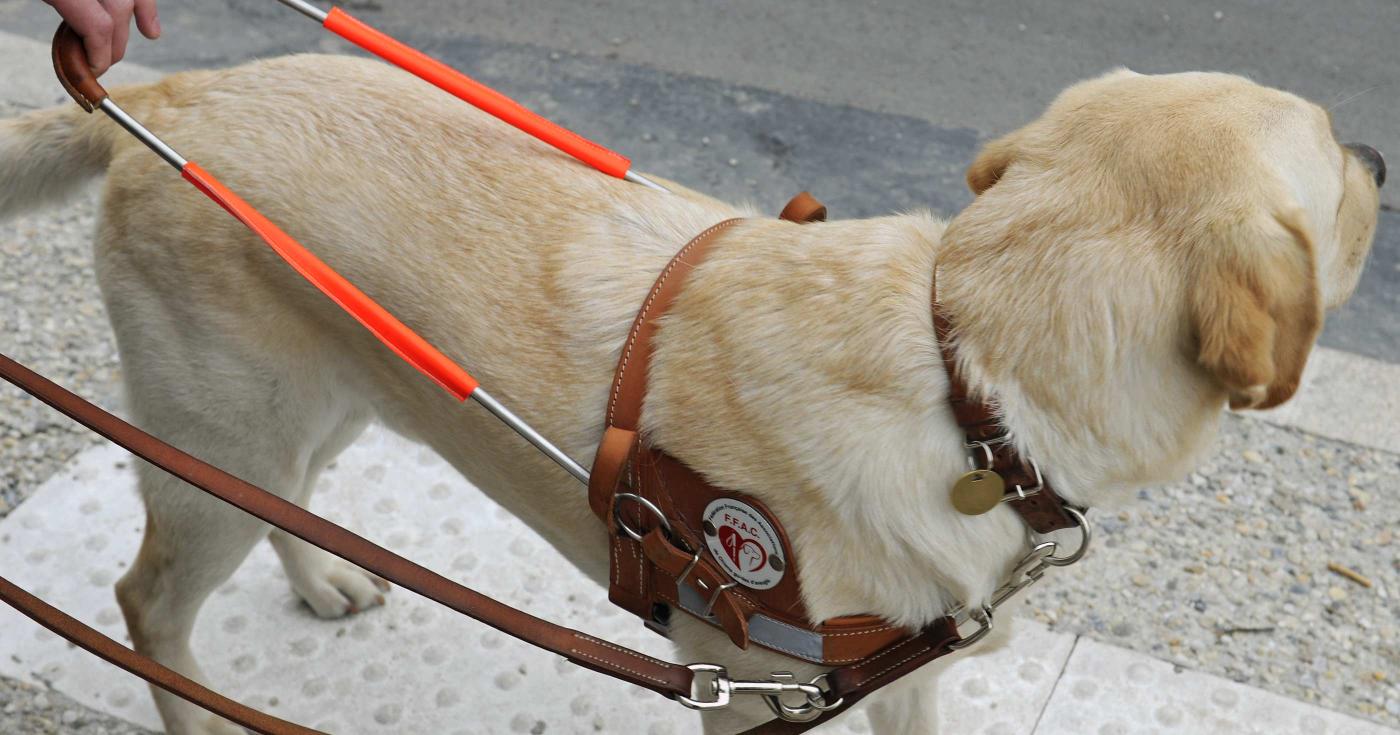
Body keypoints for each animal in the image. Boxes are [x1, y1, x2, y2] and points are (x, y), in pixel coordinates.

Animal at [0, 58, 1377, 733]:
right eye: (1336, 161)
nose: (1375, 148)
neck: (964, 380)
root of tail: (156, 95)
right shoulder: (754, 702)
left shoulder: (902, 684)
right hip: (221, 433)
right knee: (147, 602)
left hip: (312, 411)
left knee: (289, 508)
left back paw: (325, 578)